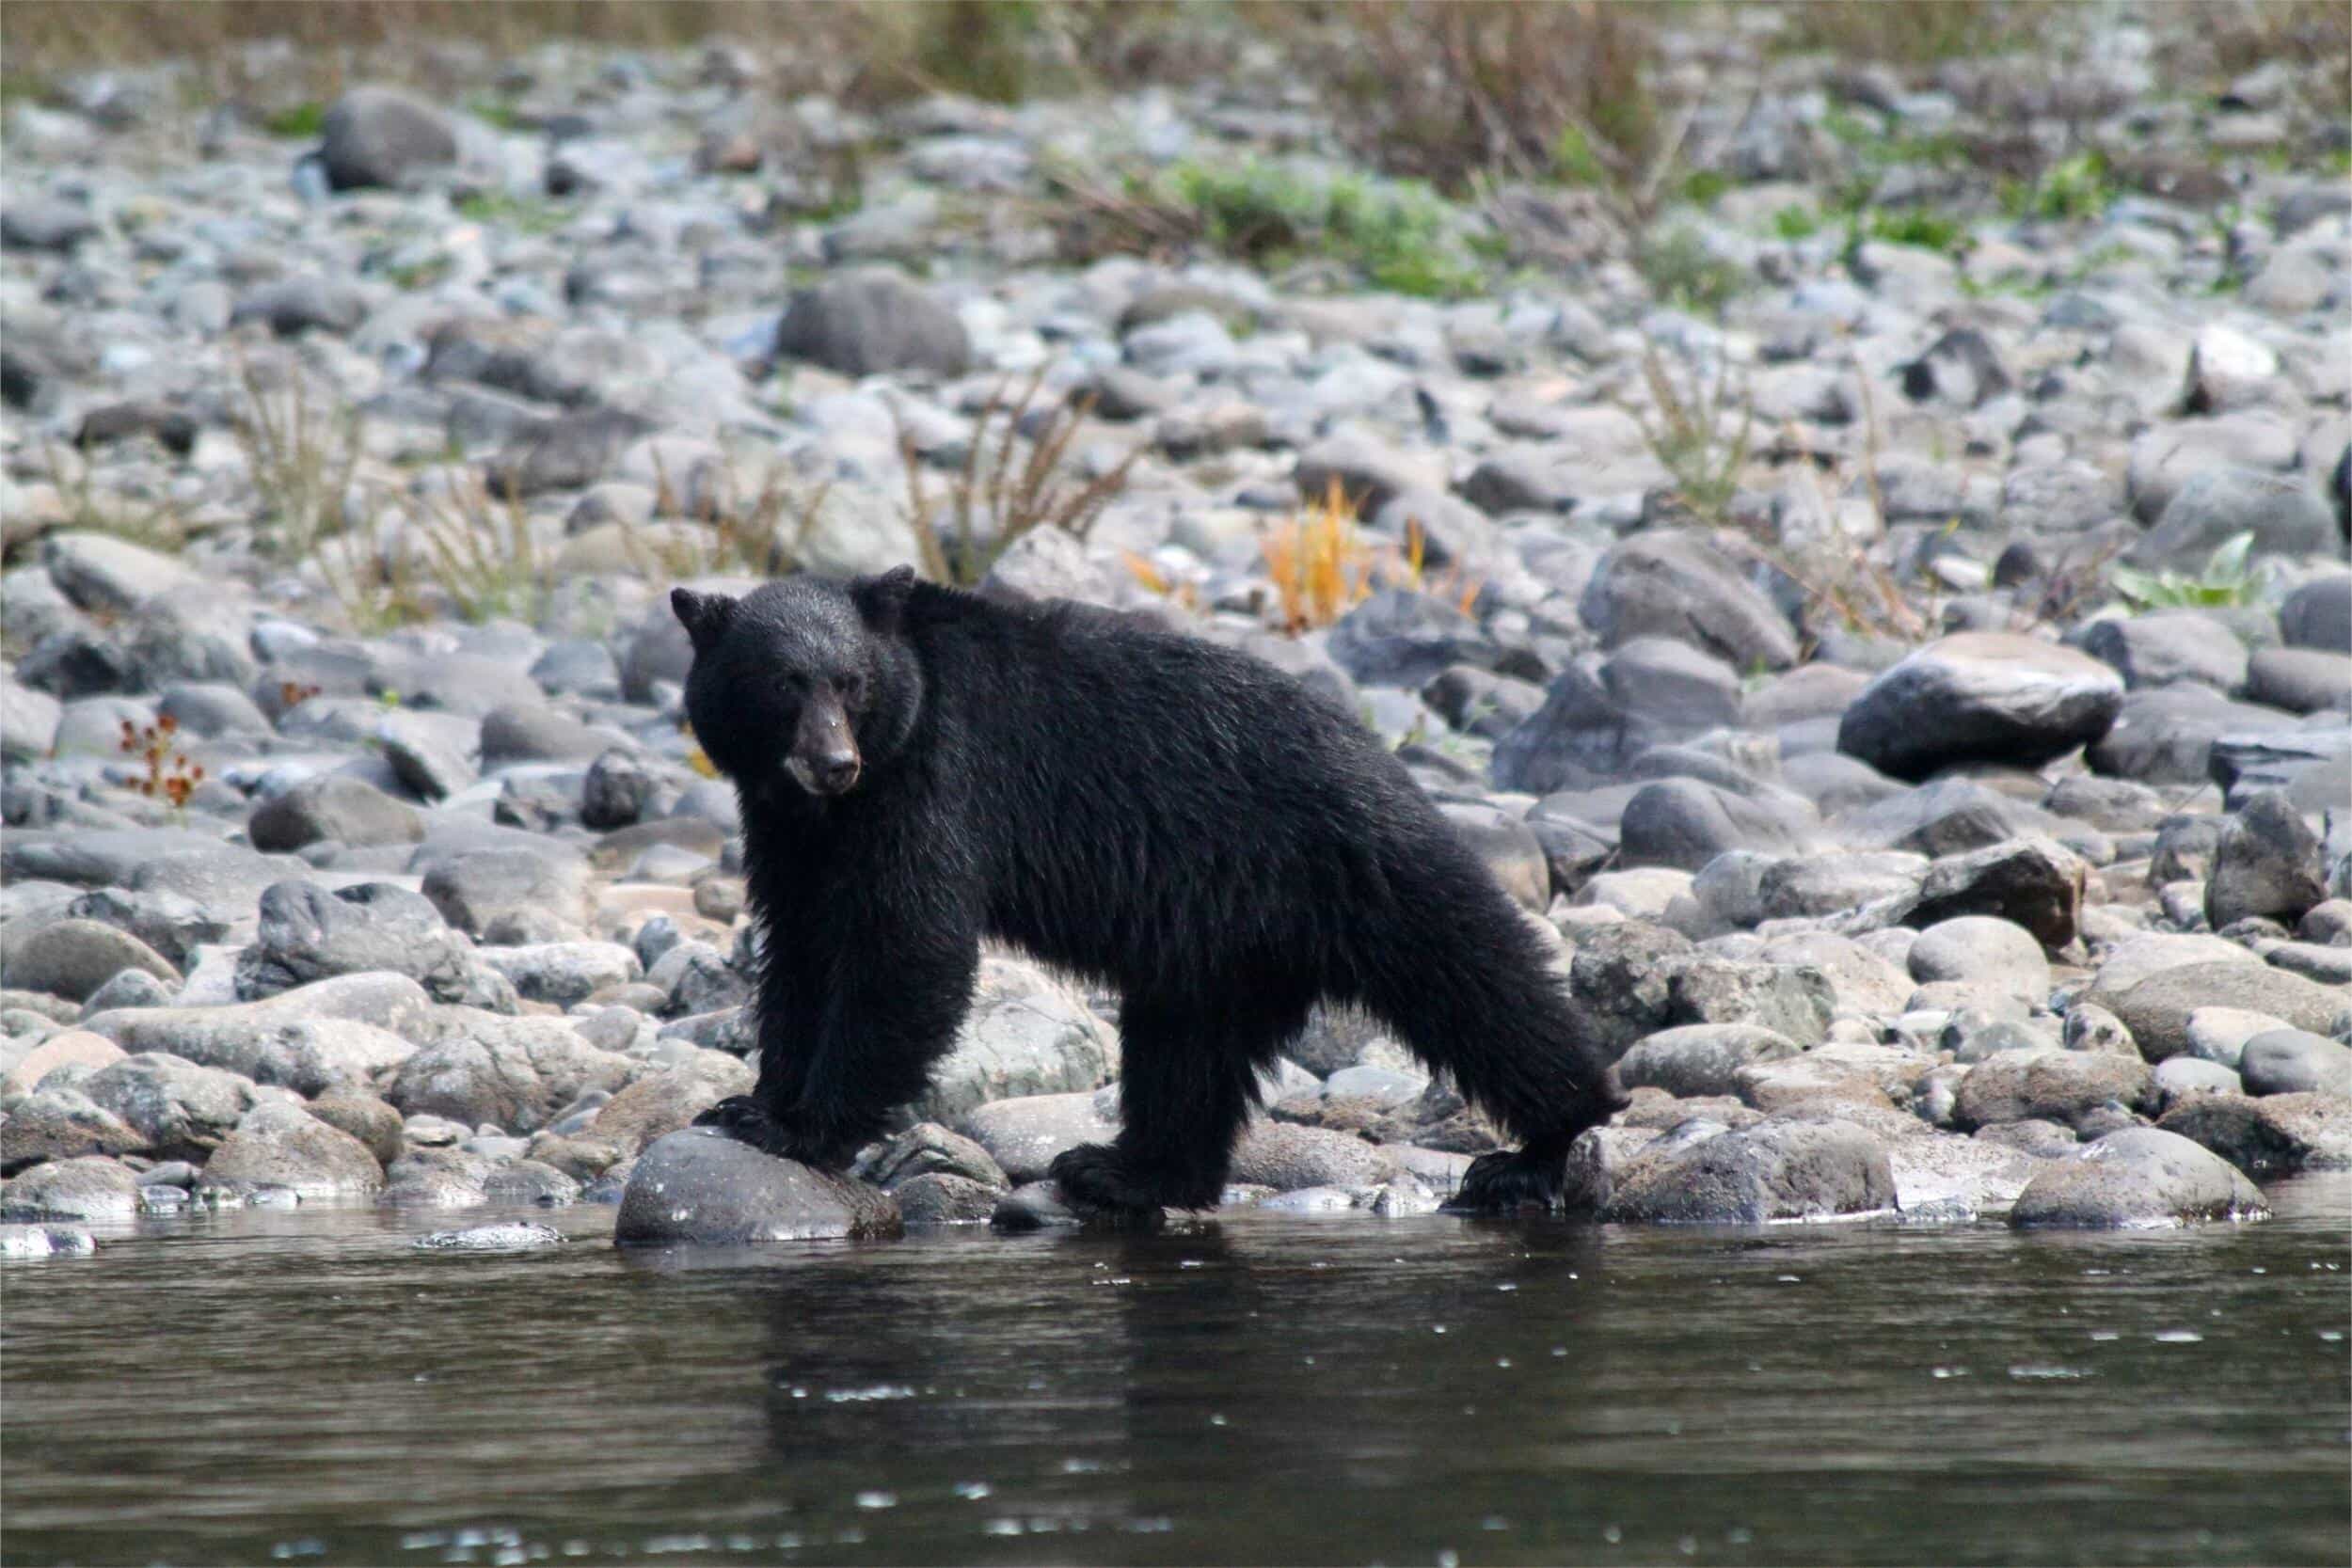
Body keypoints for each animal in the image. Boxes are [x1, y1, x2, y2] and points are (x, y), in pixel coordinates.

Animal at [672, 567, 1624, 1217]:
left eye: (851, 682)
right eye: (783, 683)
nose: (835, 761)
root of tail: (1383, 760)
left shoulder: (934, 779)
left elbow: (909, 946)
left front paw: (800, 1127)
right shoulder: (790, 831)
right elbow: (800, 947)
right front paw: (753, 1100)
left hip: (1371, 871)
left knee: (1482, 984)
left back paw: (1548, 1140)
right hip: (1218, 941)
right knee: (1186, 1051)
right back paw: (1125, 1169)